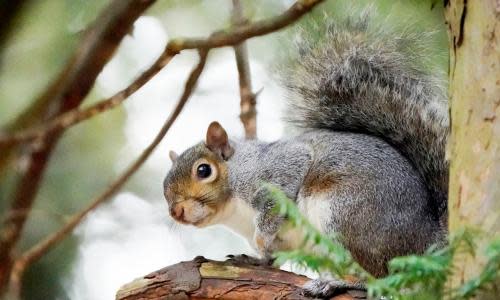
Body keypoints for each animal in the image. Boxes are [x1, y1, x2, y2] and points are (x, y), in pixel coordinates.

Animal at [163, 10, 450, 296]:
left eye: (204, 170)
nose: (176, 211)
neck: (234, 210)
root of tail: (429, 239)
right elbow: (271, 257)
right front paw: (254, 258)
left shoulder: (276, 171)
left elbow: (274, 204)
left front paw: (260, 239)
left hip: (348, 216)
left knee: (377, 274)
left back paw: (338, 281)